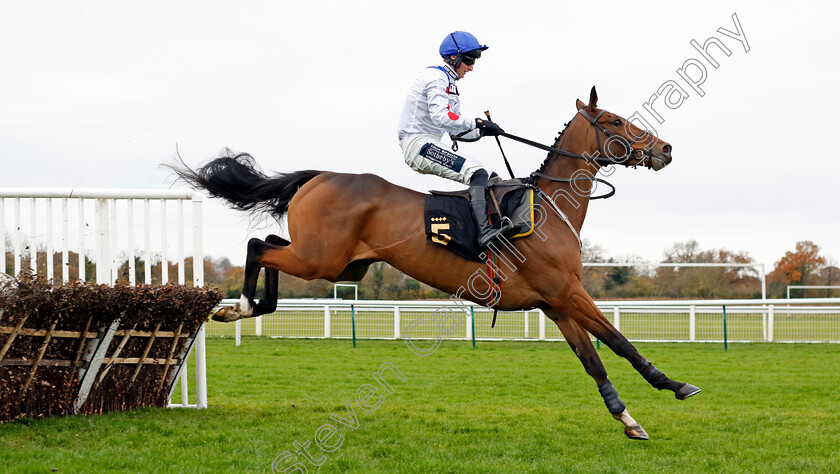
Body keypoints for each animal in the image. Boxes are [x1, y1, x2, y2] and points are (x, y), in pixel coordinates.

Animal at [169, 87, 696, 438]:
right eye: (615, 121)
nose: (666, 148)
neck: (548, 209)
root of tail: (319, 176)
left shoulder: (555, 303)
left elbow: (594, 360)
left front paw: (627, 416)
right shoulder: (567, 292)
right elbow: (619, 341)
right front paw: (672, 384)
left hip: (338, 263)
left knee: (270, 243)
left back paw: (257, 306)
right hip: (320, 259)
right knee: (258, 244)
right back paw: (240, 305)